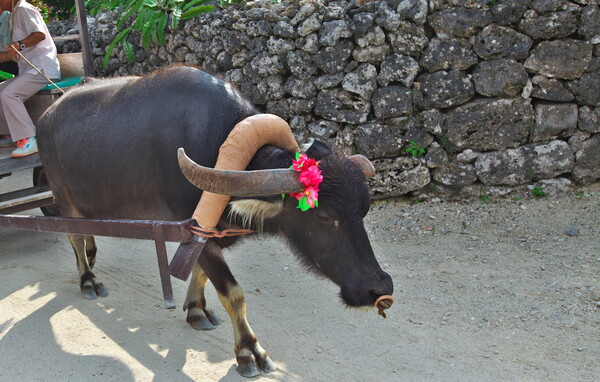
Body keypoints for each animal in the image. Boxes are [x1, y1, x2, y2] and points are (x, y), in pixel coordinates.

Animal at [37, 65, 394, 376]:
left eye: (363, 210)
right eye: (323, 215)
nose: (379, 288)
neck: (217, 149)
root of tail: (45, 117)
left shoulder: (207, 234)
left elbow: (201, 274)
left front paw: (196, 310)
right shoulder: (195, 230)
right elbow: (233, 294)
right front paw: (250, 352)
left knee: (86, 236)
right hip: (64, 200)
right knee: (74, 238)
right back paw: (88, 281)